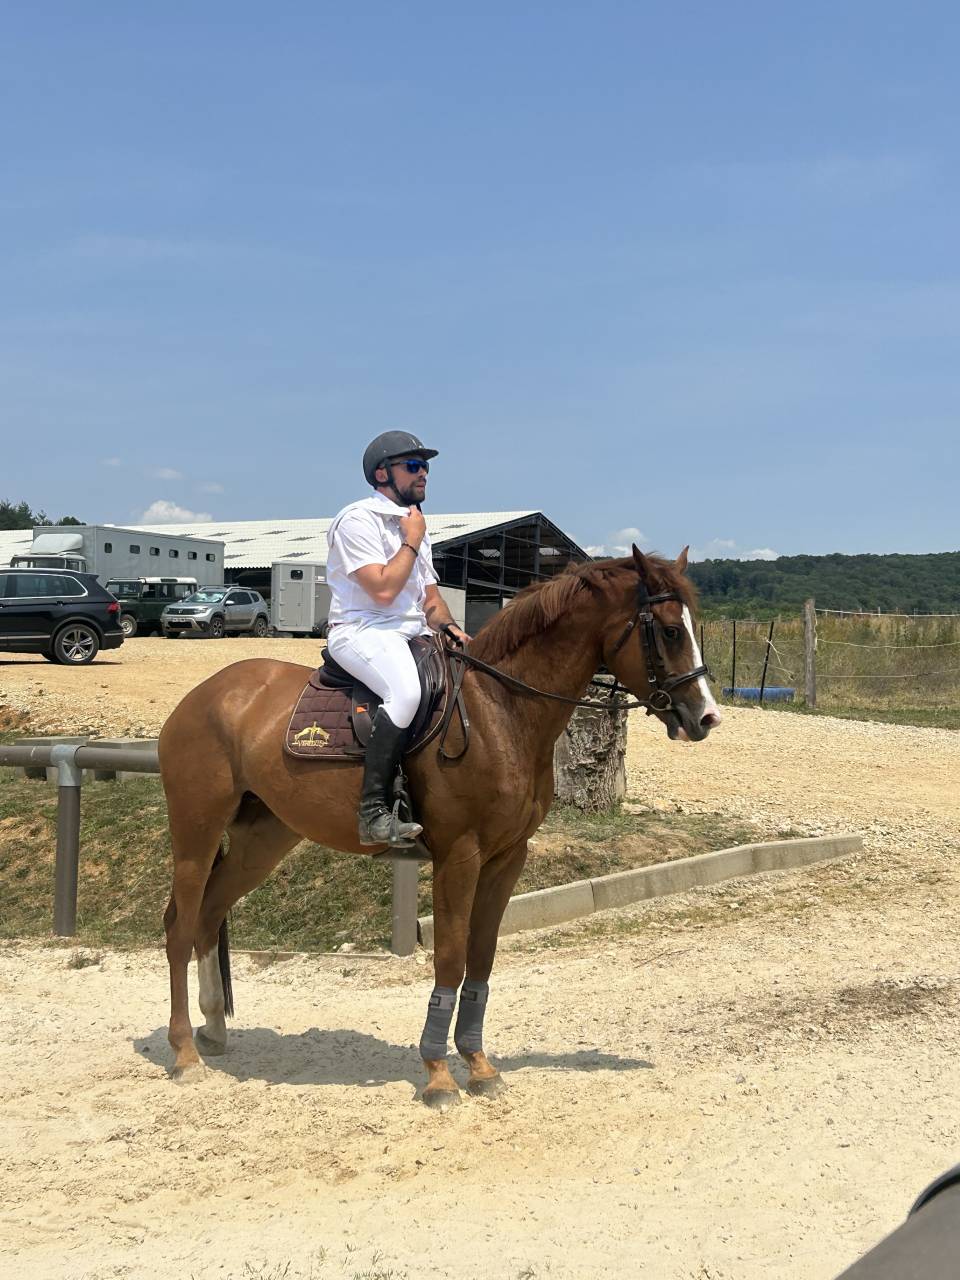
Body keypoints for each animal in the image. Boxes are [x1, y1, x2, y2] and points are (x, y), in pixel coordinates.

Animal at [158, 545, 721, 1107]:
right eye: (671, 631)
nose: (707, 718)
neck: (500, 709)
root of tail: (203, 695)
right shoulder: (460, 855)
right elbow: (450, 957)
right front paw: (439, 1074)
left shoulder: (507, 857)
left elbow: (482, 958)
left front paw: (479, 1064)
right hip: (196, 835)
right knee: (180, 926)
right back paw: (185, 1053)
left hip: (264, 839)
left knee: (209, 913)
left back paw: (214, 1031)